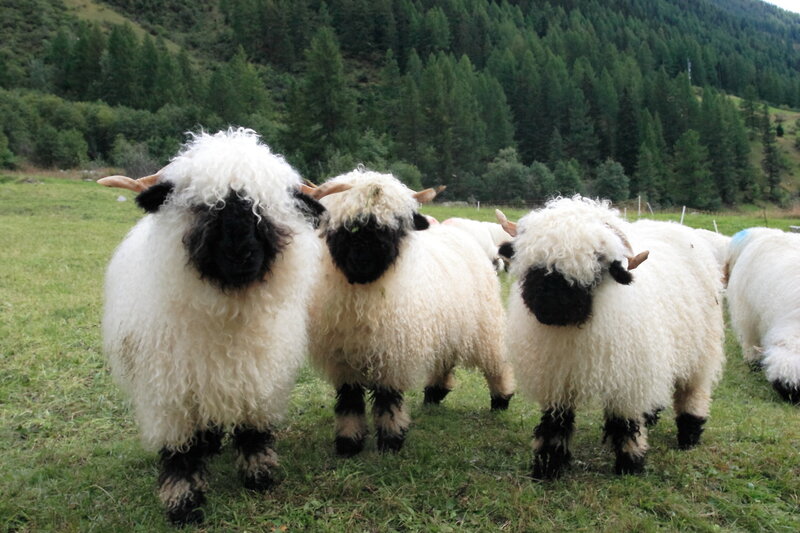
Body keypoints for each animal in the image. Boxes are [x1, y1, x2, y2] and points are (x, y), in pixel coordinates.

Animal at [98, 128, 339, 524]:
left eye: (264, 209)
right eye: (205, 206)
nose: (240, 254)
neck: (227, 312)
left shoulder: (257, 377)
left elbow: (253, 430)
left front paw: (259, 476)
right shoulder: (172, 392)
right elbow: (179, 451)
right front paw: (183, 503)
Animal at [307, 169, 515, 456]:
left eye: (393, 227)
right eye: (350, 226)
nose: (364, 260)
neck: (364, 295)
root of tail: (456, 230)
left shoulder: (393, 353)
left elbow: (388, 399)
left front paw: (390, 441)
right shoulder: (343, 356)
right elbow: (349, 400)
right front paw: (349, 442)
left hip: (485, 323)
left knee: (495, 362)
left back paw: (501, 399)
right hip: (444, 325)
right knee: (445, 359)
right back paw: (434, 394)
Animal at [496, 196, 725, 478]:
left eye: (598, 261)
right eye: (535, 260)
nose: (550, 307)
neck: (574, 330)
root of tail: (672, 225)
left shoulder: (627, 377)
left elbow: (625, 423)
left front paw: (631, 464)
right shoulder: (557, 376)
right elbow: (555, 423)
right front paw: (548, 466)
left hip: (701, 349)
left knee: (694, 391)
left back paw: (689, 435)